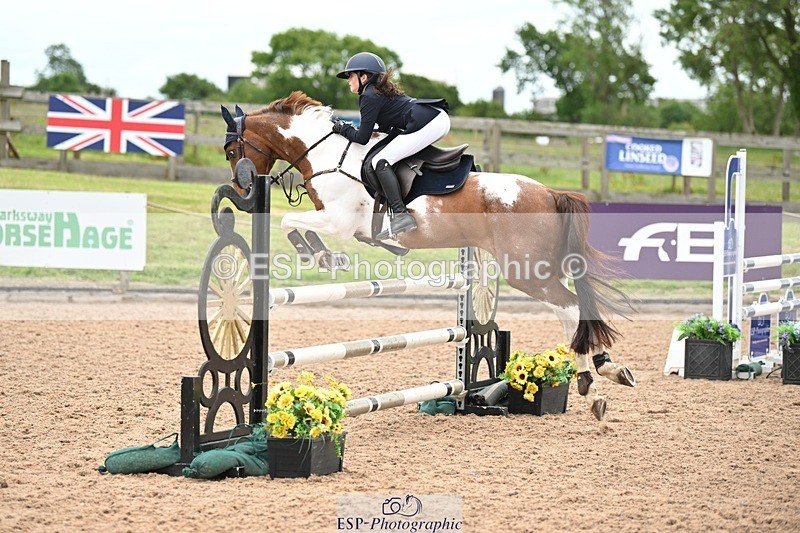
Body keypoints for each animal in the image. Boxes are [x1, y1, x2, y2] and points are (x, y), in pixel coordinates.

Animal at [221, 91, 636, 420]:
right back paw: (609, 369)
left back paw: (590, 385)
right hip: (541, 268)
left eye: (230, 150)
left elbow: (289, 221)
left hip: (528, 272)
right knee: (577, 308)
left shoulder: (339, 222)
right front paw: (322, 255)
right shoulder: (337, 222)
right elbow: (296, 223)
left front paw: (320, 256)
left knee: (569, 308)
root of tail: (550, 192)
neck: (326, 153)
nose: (242, 191)